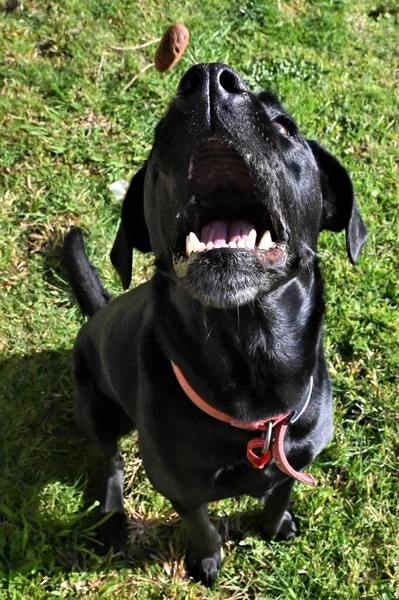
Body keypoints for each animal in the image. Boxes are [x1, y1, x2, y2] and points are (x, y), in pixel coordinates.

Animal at [63, 63, 368, 584]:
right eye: (160, 136)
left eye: (284, 125)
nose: (206, 79)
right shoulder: (180, 488)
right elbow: (201, 524)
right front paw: (207, 560)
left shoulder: (297, 460)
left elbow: (280, 493)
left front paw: (274, 526)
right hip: (95, 407)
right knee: (110, 462)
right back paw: (113, 519)